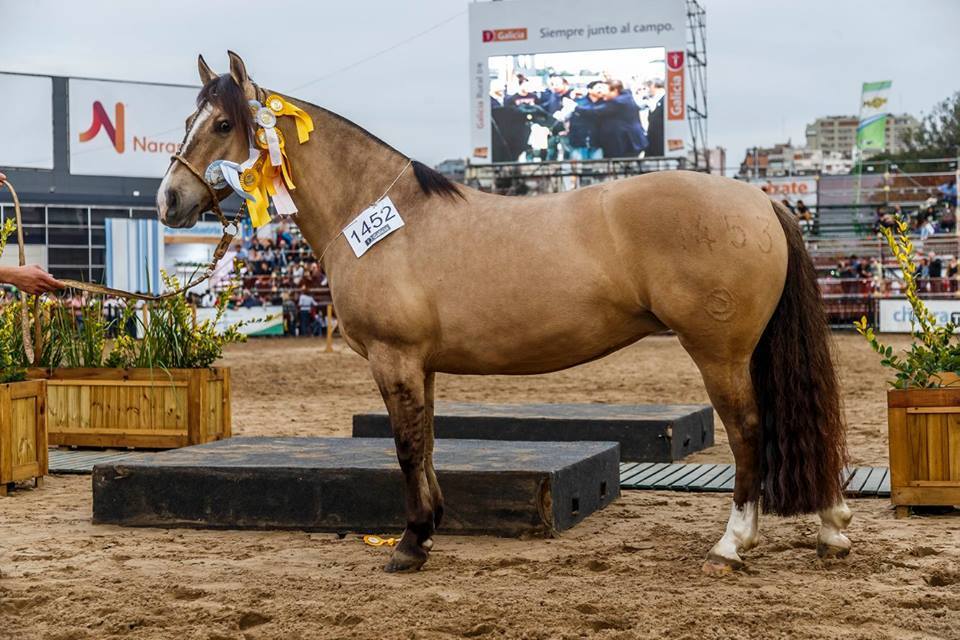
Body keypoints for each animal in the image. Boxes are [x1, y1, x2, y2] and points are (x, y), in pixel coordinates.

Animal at [156, 52, 848, 576]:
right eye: (188, 117)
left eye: (222, 123)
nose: (168, 200)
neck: (375, 212)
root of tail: (759, 201)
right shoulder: (420, 365)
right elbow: (428, 443)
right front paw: (430, 526)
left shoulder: (393, 358)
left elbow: (406, 448)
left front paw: (410, 544)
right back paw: (833, 529)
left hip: (719, 354)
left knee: (750, 431)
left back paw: (732, 544)